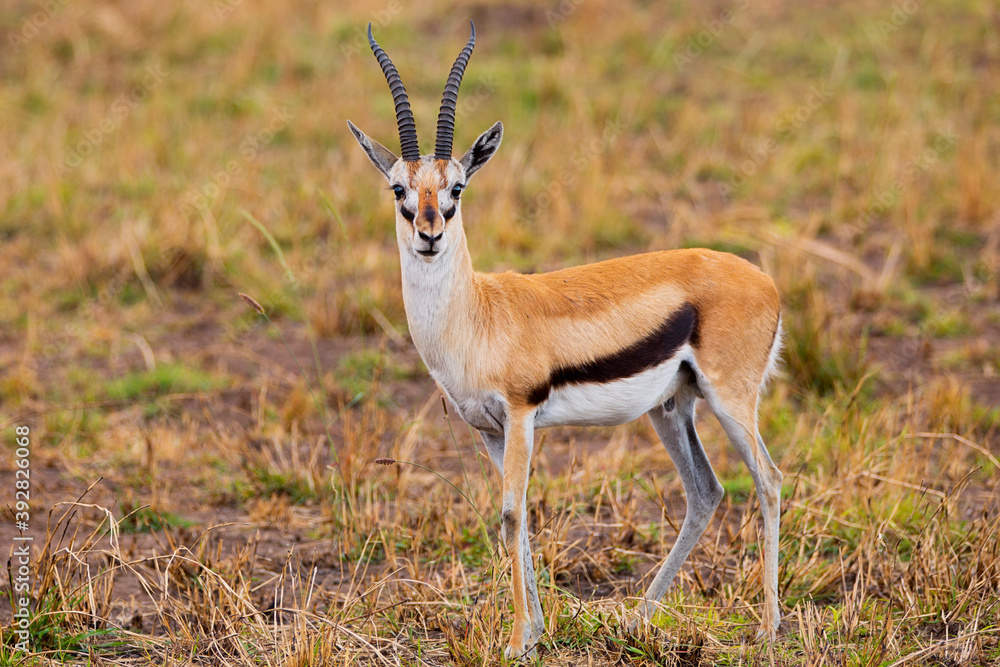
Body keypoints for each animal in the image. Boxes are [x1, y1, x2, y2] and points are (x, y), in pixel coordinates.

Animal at [348, 22, 784, 658]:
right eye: (398, 189)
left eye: (457, 188)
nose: (430, 234)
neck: (477, 315)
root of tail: (766, 281)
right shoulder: (491, 430)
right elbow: (518, 517)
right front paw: (534, 632)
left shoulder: (522, 413)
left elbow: (511, 514)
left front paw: (515, 642)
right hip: (671, 408)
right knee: (705, 492)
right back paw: (636, 620)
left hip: (731, 401)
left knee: (769, 481)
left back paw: (769, 629)